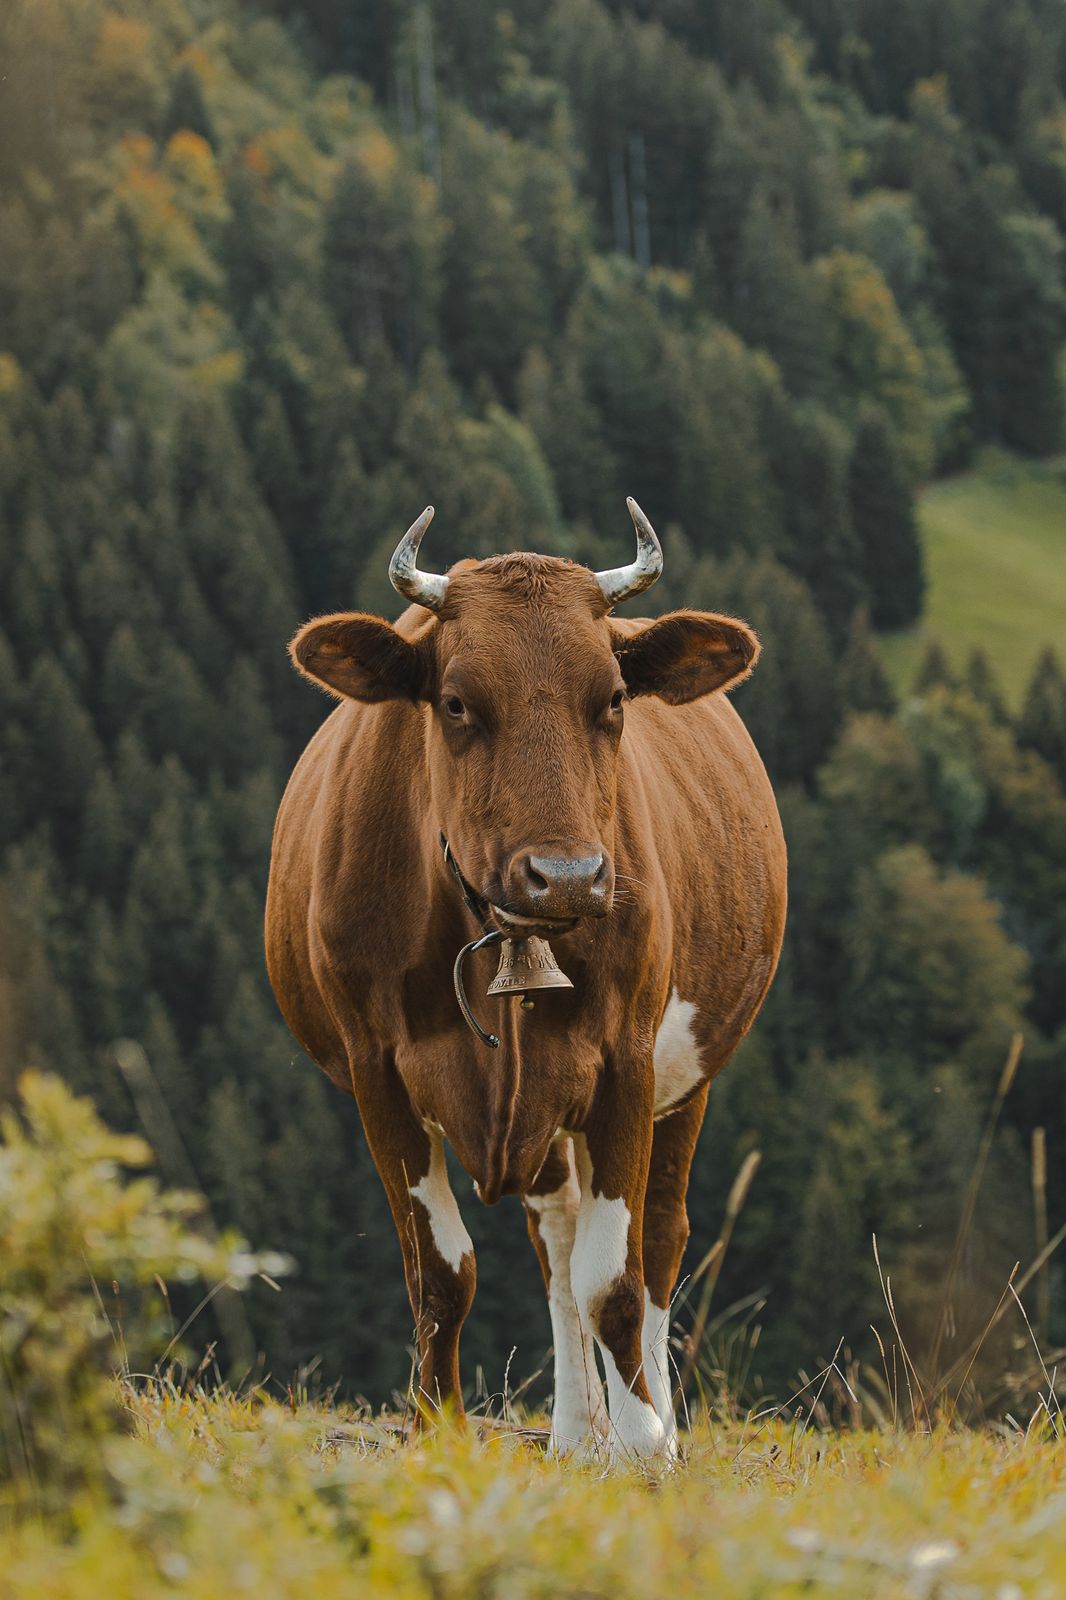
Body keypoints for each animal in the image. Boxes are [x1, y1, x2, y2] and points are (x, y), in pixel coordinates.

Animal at [265, 500, 787, 1461]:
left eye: (612, 700)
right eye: (457, 702)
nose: (569, 877)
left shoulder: (627, 1061)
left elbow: (616, 1280)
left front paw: (646, 1445)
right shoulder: (376, 1071)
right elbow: (442, 1272)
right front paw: (437, 1430)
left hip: (685, 1073)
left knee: (658, 1243)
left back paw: (647, 1423)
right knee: (558, 1243)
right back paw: (577, 1434)